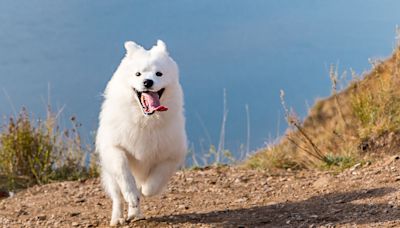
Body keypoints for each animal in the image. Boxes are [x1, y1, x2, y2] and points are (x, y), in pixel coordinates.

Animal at [95, 40, 188, 225]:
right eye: (138, 74)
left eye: (159, 74)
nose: (147, 82)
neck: (146, 121)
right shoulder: (114, 148)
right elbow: (124, 173)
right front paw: (131, 195)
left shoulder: (172, 155)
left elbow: (154, 182)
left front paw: (145, 190)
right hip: (110, 175)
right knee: (117, 196)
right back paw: (118, 218)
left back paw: (134, 214)